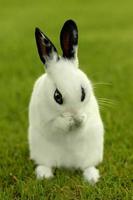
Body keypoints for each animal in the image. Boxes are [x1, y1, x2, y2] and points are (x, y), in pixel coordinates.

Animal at [28, 19, 104, 184]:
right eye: (57, 96)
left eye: (83, 92)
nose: (74, 114)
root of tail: (67, 165)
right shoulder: (46, 121)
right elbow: (56, 125)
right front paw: (68, 121)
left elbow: (84, 122)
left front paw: (79, 119)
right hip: (42, 152)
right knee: (46, 164)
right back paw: (44, 175)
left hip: (91, 152)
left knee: (87, 166)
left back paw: (92, 178)